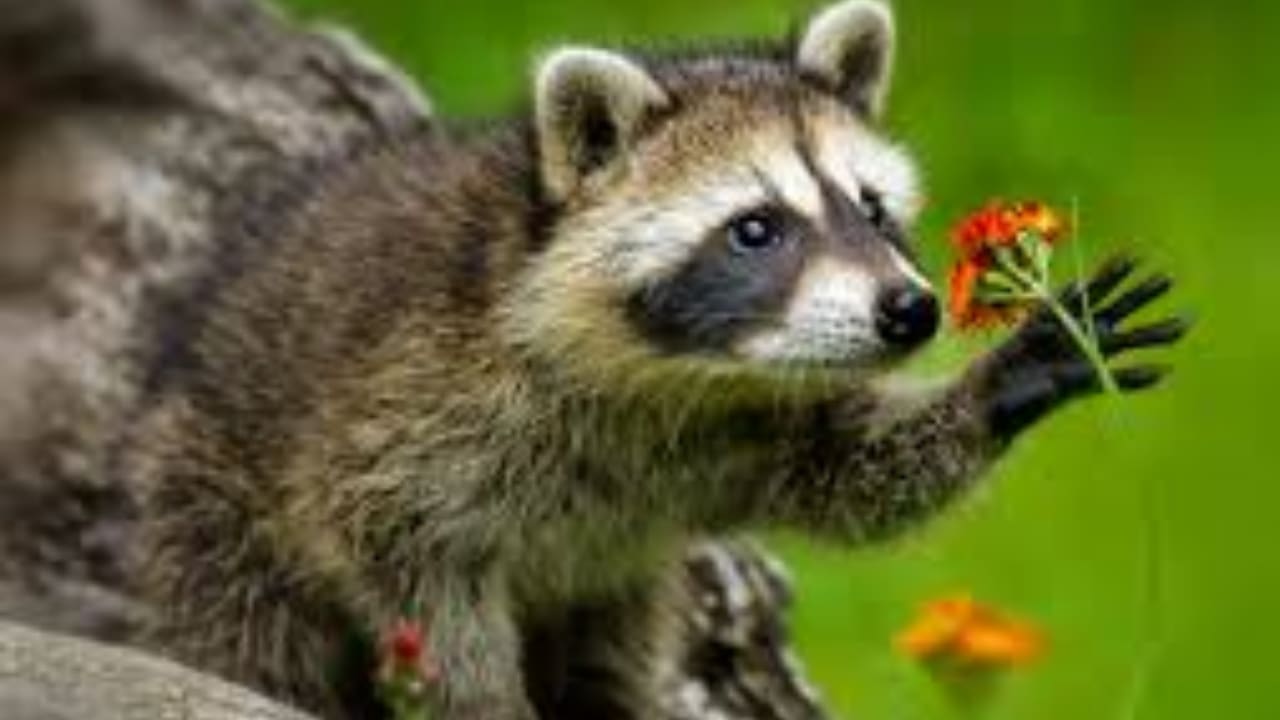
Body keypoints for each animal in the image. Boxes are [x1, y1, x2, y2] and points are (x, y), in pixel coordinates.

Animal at [128, 1, 1187, 718]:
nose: (910, 311)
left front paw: (1010, 375)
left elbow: (851, 478)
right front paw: (478, 700)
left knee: (618, 645)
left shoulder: (738, 429)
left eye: (872, 209)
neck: (668, 373)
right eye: (755, 229)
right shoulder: (404, 416)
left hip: (617, 589)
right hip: (208, 503)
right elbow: (418, 582)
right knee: (250, 636)